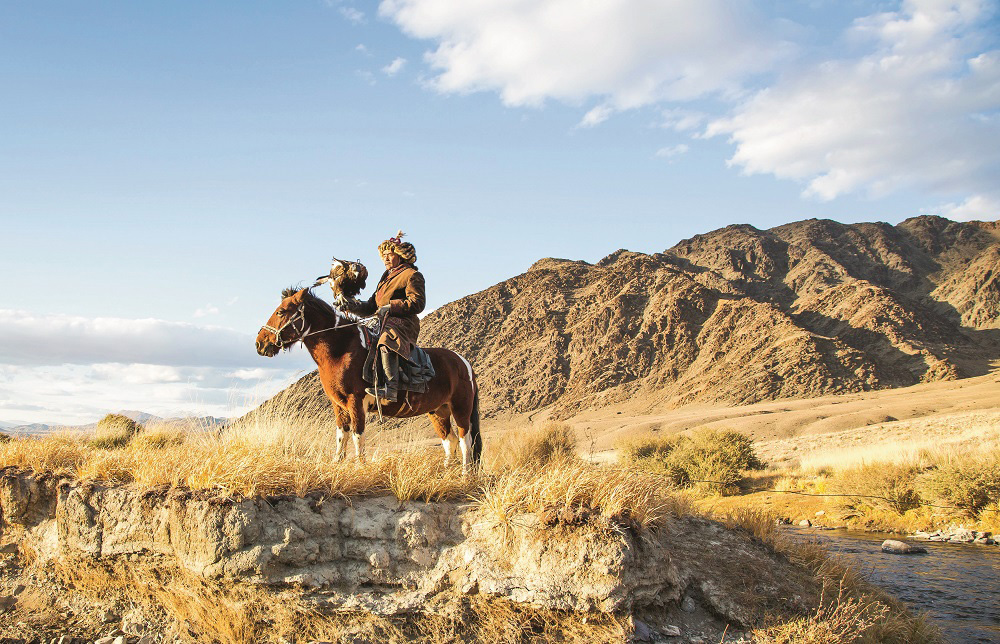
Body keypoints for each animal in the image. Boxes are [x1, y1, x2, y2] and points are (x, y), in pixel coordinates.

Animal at [258, 290, 484, 470]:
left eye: (281, 311)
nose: (260, 343)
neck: (341, 351)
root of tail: (464, 363)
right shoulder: (338, 405)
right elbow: (341, 435)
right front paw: (337, 463)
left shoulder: (355, 402)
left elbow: (358, 436)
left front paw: (360, 467)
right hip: (438, 411)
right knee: (450, 441)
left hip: (460, 408)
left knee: (465, 441)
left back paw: (464, 475)